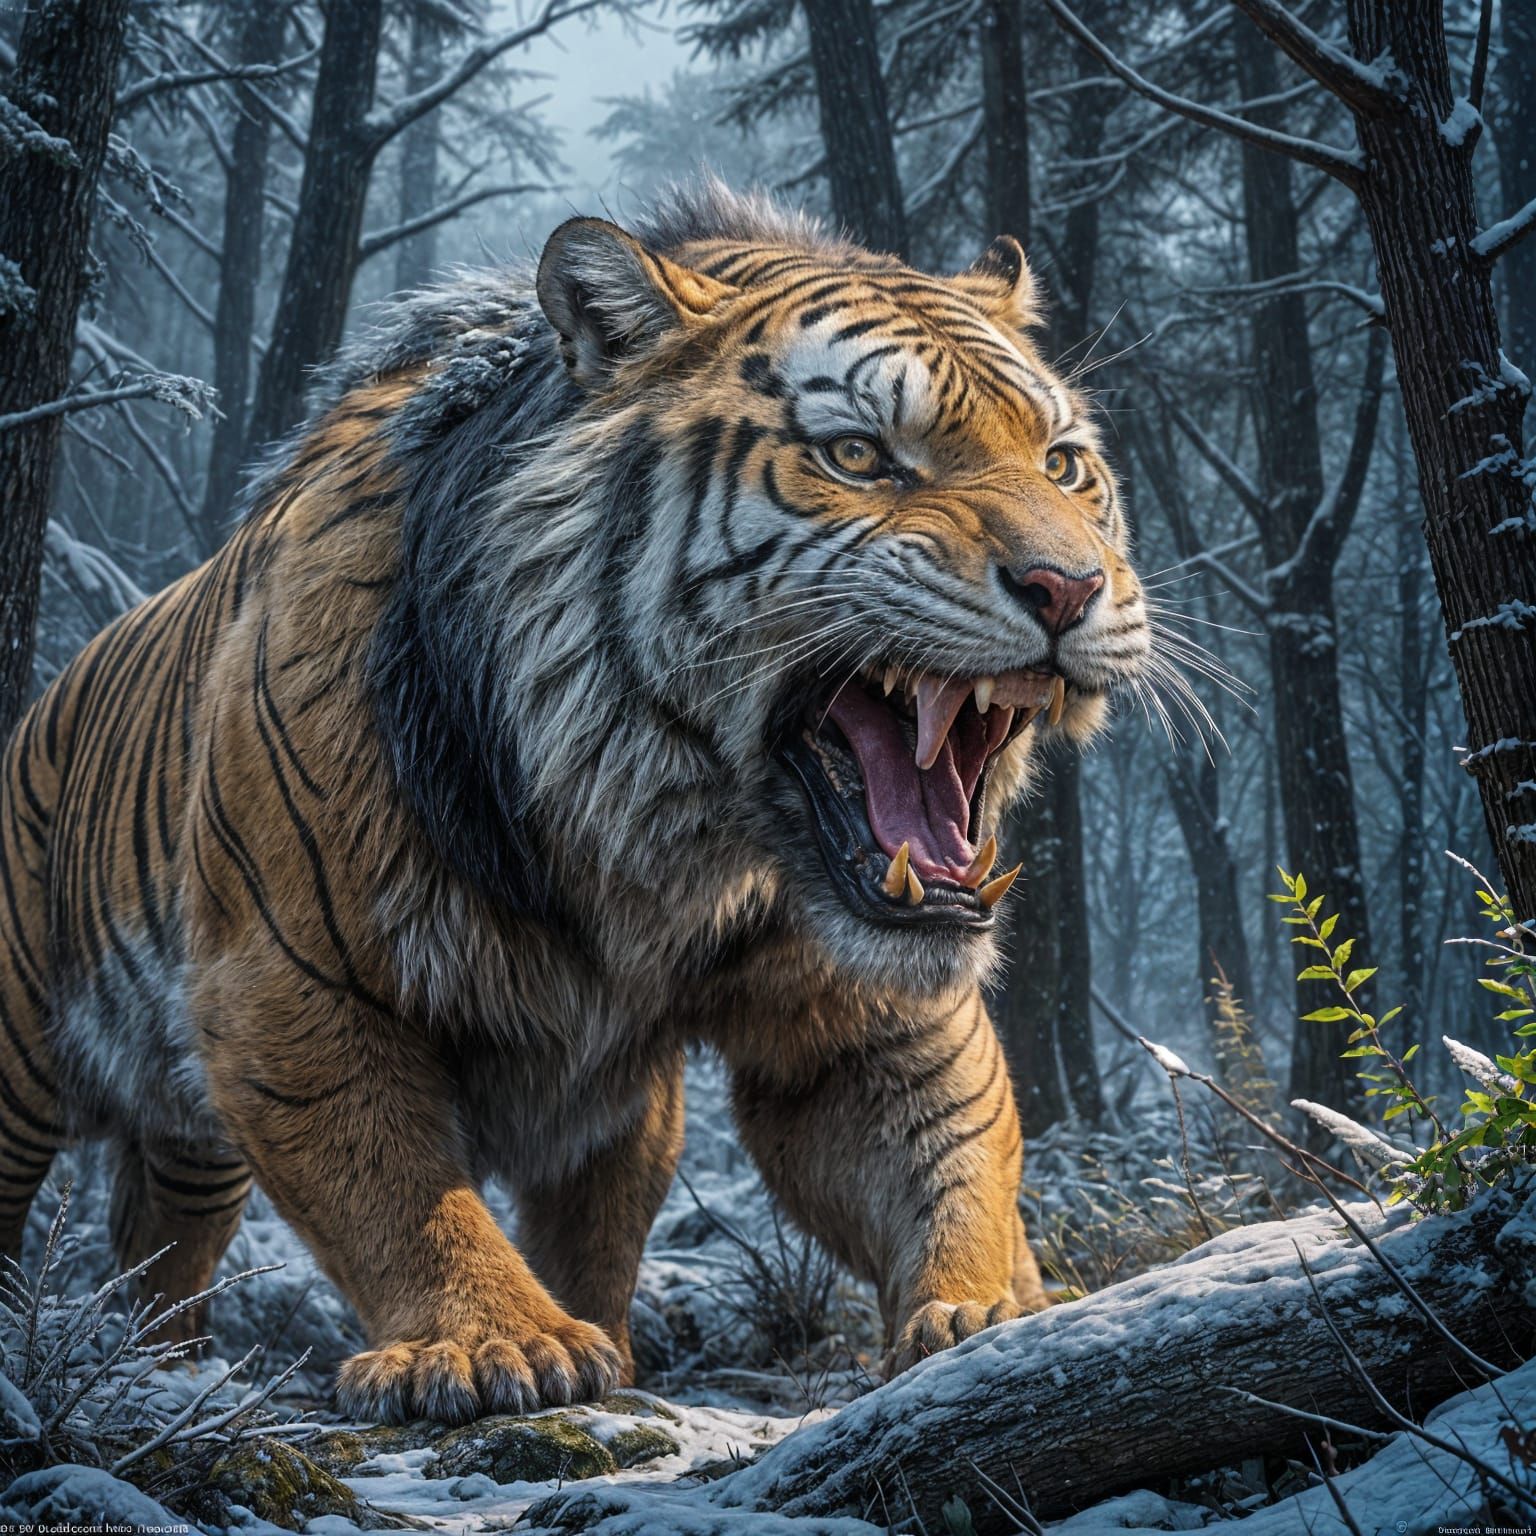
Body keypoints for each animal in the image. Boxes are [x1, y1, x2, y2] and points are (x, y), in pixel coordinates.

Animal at [0, 182, 1150, 1425]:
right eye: (857, 454)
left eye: (1064, 464)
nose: (1070, 587)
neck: (653, 838)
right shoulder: (287, 987)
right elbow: (399, 1190)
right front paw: (495, 1346)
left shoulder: (870, 1020)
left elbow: (949, 1149)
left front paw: (1000, 1314)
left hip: (266, 1141)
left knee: (174, 1246)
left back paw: (153, 1367)